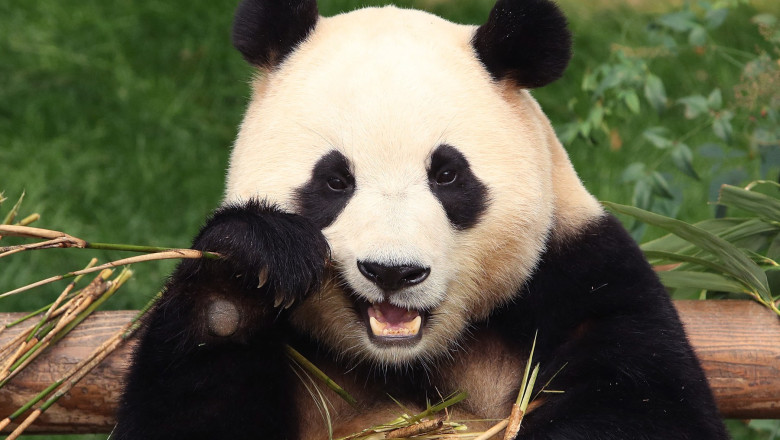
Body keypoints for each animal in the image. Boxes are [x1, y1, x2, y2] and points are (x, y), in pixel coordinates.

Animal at [115, 0, 730, 439]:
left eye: (448, 175)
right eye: (335, 181)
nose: (393, 272)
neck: (403, 362)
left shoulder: (581, 279)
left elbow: (650, 407)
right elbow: (184, 412)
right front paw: (249, 268)